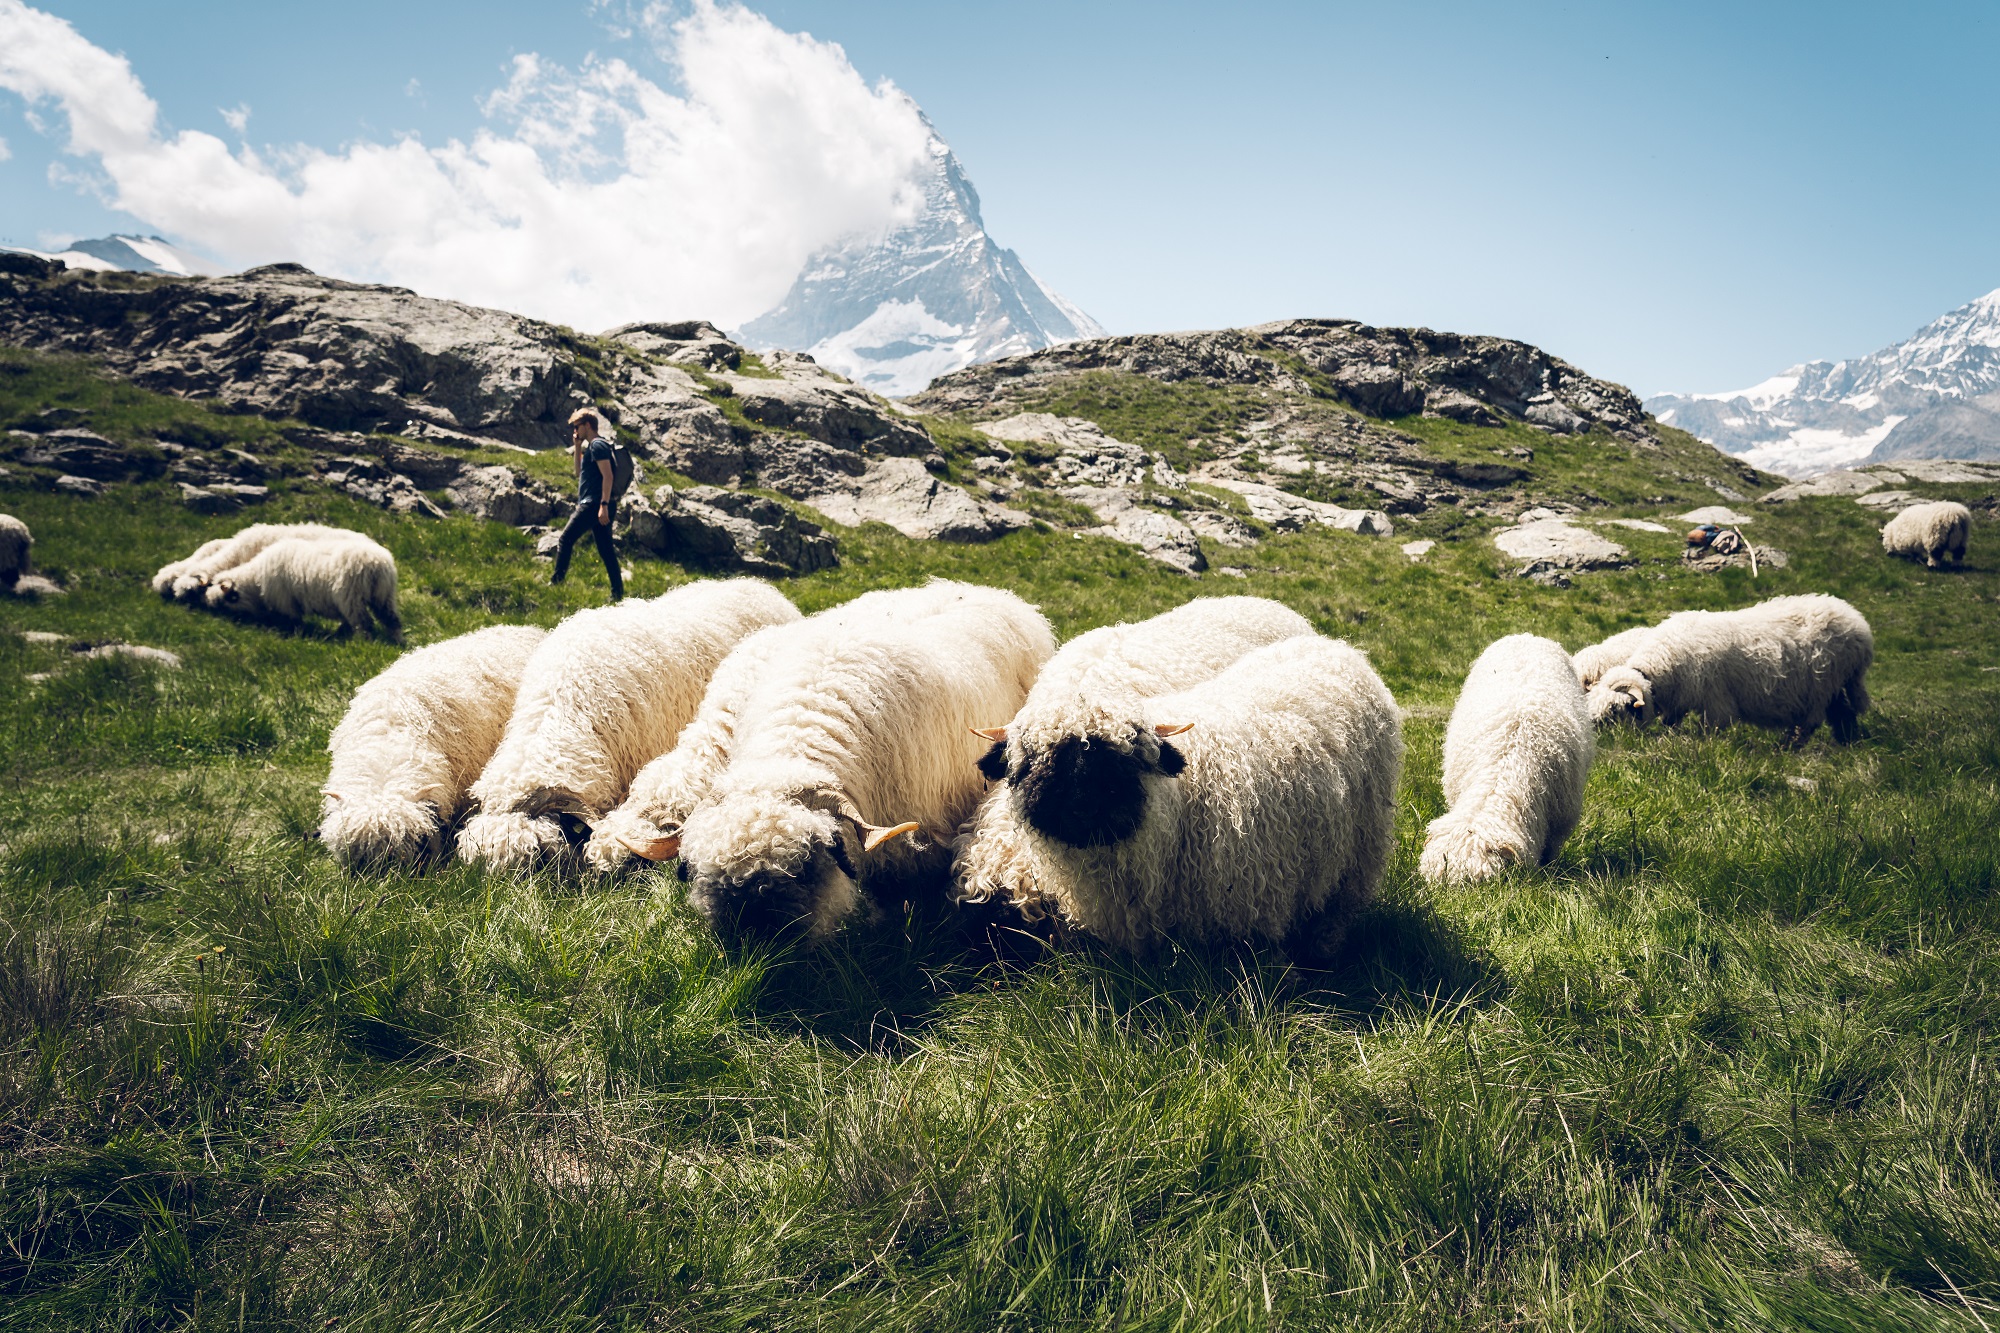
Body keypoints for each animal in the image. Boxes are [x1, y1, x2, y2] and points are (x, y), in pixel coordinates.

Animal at [203, 534, 402, 640]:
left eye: (223, 597)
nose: (207, 601)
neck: (255, 580)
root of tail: (378, 563)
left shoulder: (286, 602)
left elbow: (294, 621)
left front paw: (296, 635)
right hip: (384, 596)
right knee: (392, 619)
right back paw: (397, 641)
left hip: (351, 597)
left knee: (363, 622)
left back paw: (364, 641)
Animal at [1587, 593, 1873, 744]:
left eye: (1613, 711)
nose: (1594, 736)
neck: (1666, 662)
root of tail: (1861, 628)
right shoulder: (1680, 698)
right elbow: (1670, 722)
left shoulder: (1716, 701)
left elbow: (1711, 729)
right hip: (1837, 685)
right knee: (1843, 714)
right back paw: (1845, 744)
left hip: (1822, 685)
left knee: (1811, 723)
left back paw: (1787, 747)